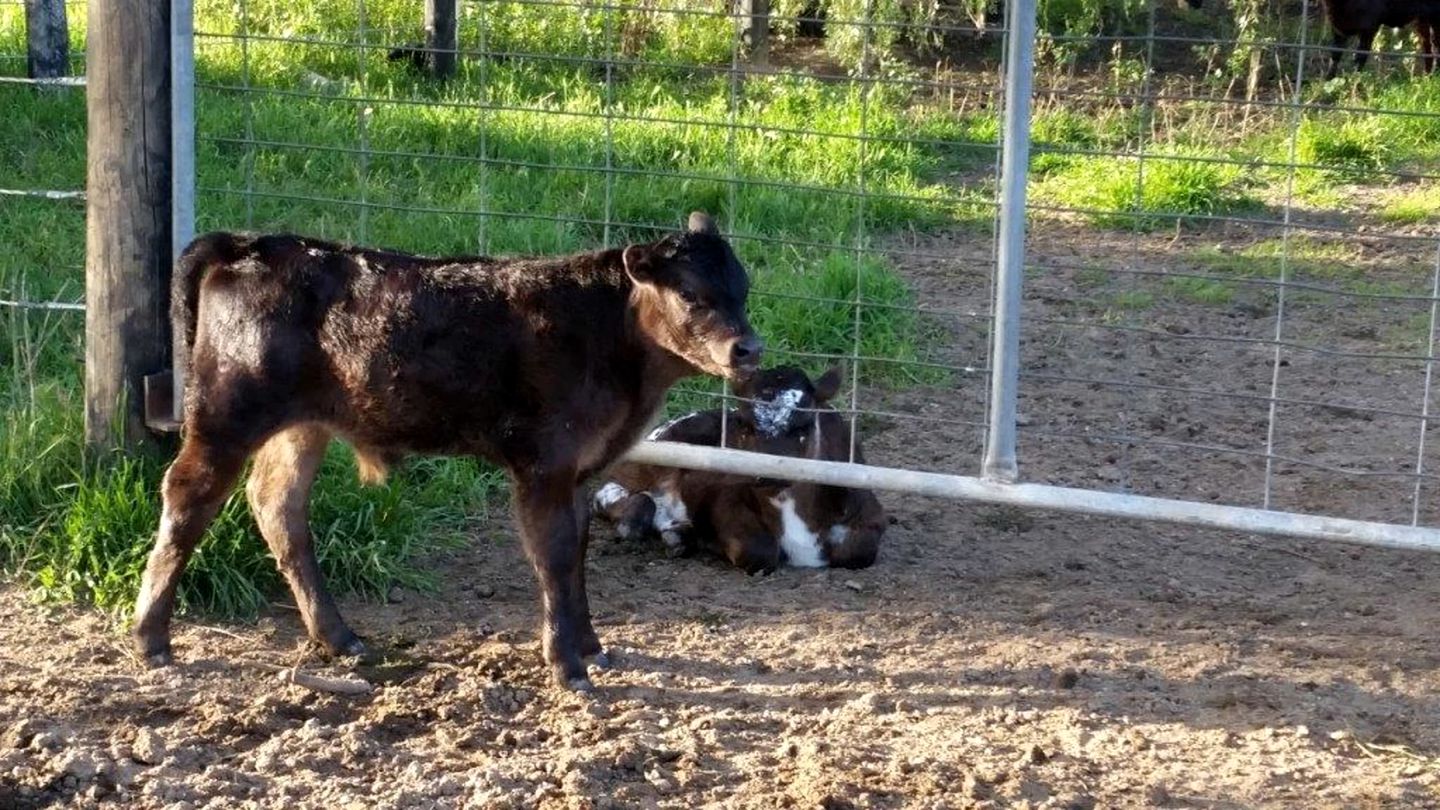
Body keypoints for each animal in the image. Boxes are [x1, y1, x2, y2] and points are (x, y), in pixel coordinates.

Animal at [590, 363, 881, 570]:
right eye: (743, 423)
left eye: (804, 425)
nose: (766, 473)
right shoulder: (724, 497)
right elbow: (757, 550)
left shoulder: (868, 511)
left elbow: (858, 550)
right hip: (657, 451)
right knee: (610, 492)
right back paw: (636, 520)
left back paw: (678, 535)